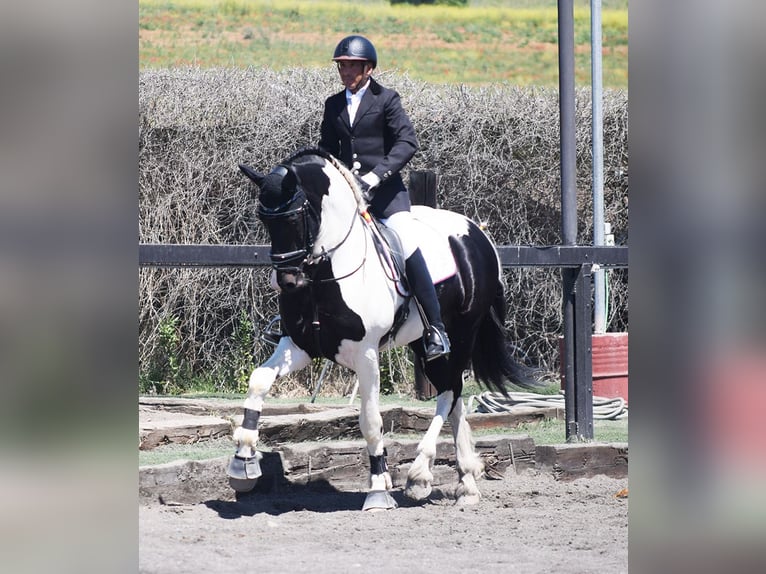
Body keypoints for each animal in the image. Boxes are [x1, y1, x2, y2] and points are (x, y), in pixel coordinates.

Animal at [226, 150, 540, 512]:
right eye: (264, 219)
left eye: (294, 218)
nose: (287, 282)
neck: (324, 274)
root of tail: (477, 232)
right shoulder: (299, 345)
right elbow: (258, 381)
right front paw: (242, 459)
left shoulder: (365, 353)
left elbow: (370, 421)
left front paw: (378, 487)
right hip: (424, 344)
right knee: (454, 394)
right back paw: (466, 484)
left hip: (463, 333)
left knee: (449, 392)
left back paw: (420, 475)